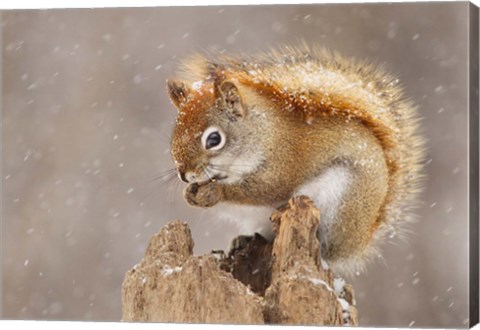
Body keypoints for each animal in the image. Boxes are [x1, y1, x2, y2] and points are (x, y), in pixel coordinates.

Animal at [166, 44, 424, 276]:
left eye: (214, 139)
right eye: (174, 133)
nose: (184, 174)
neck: (263, 133)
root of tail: (361, 240)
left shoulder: (284, 164)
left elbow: (264, 190)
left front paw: (214, 192)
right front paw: (190, 193)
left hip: (342, 205)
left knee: (329, 251)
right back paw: (242, 241)